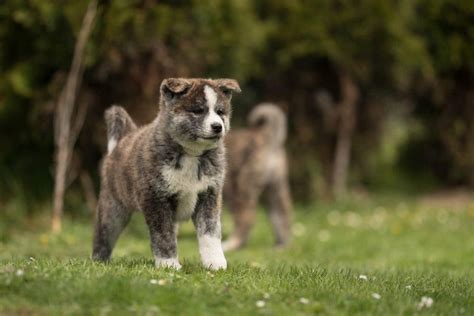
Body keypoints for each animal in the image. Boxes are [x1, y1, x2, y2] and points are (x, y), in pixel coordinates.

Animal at [222, 102, 292, 251]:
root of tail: (266, 136)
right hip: (276, 188)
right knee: (282, 216)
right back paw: (282, 247)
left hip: (238, 189)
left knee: (246, 220)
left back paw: (231, 244)